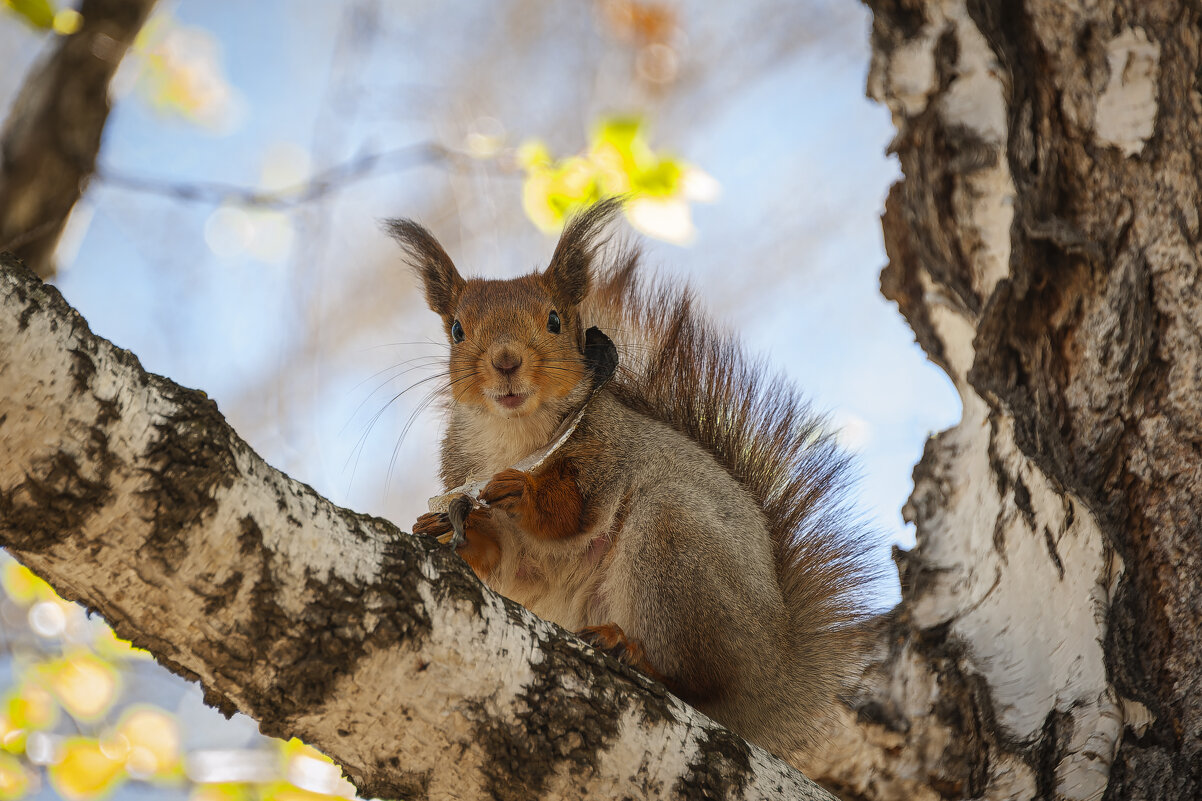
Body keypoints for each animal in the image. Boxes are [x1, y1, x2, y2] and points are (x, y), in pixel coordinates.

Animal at [387, 198, 877, 760]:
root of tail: (773, 682)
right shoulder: (463, 471)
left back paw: (633, 651)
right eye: (457, 331)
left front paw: (521, 491)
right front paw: (449, 530)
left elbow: (569, 513)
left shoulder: (606, 446)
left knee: (696, 680)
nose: (506, 361)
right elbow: (505, 561)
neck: (515, 435)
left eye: (554, 320)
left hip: (674, 546)